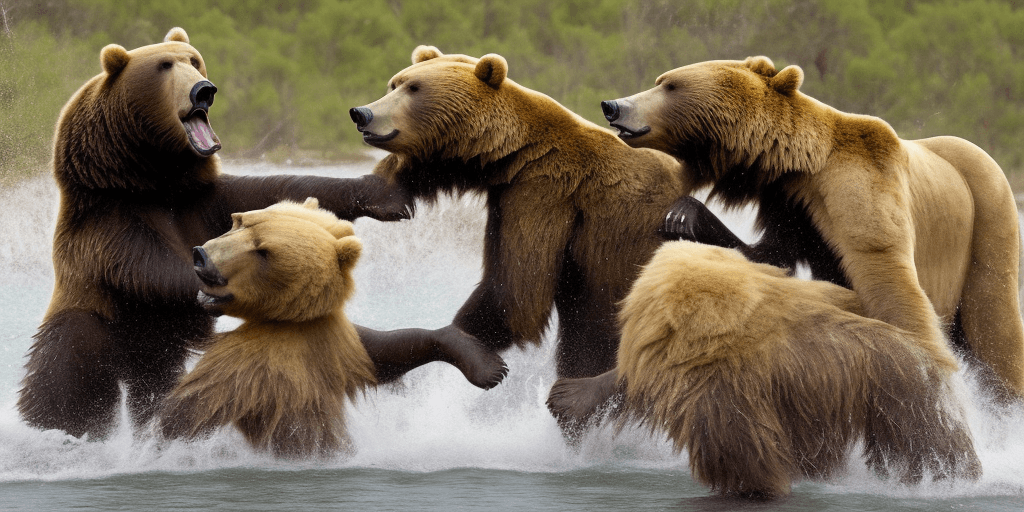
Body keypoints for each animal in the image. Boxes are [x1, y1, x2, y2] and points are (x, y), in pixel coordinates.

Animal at [158, 199, 505, 458]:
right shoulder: (304, 346)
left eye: (262, 250)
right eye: (239, 222)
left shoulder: (282, 350)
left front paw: (485, 364)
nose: (202, 257)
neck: (283, 321)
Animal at [348, 47, 694, 427]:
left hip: (624, 254)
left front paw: (469, 338)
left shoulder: (544, 190)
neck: (510, 154)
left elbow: (517, 290)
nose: (362, 113)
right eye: (394, 83)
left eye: (414, 88)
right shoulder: (502, 191)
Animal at [600, 56, 1024, 401]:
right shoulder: (789, 206)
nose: (612, 105)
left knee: (994, 325)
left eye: (670, 85)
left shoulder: (861, 186)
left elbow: (887, 275)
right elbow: (771, 254)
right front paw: (685, 213)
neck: (804, 165)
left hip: (989, 218)